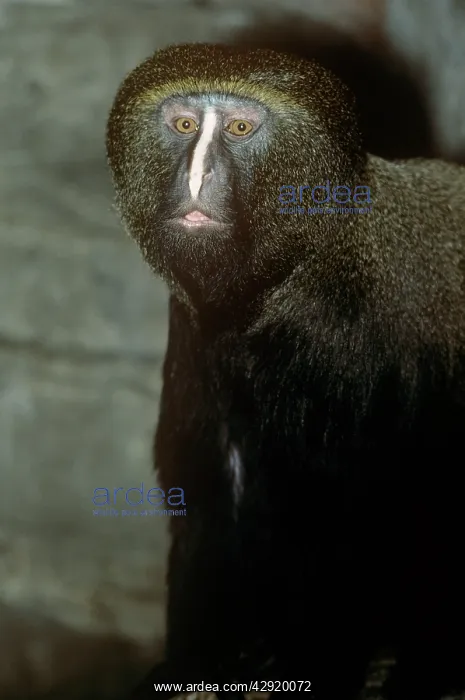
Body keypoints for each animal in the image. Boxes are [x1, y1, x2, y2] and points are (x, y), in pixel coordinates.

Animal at [106, 43, 465, 699]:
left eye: (240, 130)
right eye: (185, 125)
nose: (196, 179)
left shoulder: (348, 335)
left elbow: (354, 517)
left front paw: (315, 668)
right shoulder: (195, 328)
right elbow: (212, 488)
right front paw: (196, 663)